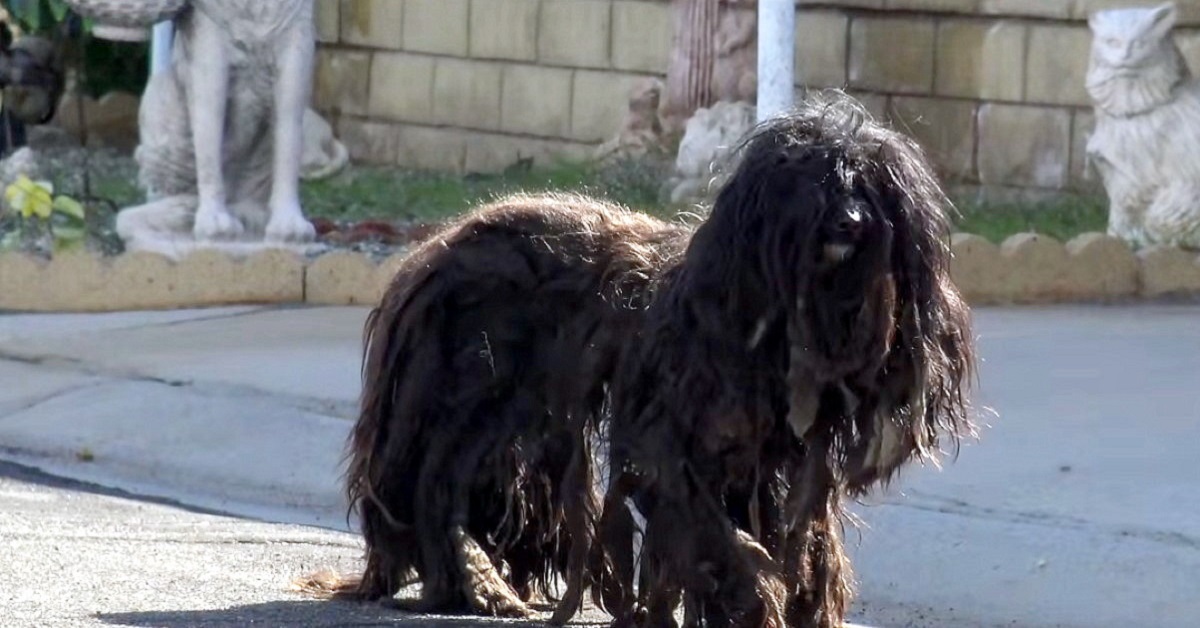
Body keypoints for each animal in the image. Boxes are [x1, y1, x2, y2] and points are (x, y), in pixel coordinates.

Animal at [316, 93, 974, 628]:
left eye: (872, 186)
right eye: (815, 177)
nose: (851, 222)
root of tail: (437, 243)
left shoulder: (771, 459)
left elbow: (786, 527)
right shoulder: (675, 446)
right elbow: (710, 532)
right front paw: (747, 598)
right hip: (467, 394)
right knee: (438, 483)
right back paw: (475, 583)